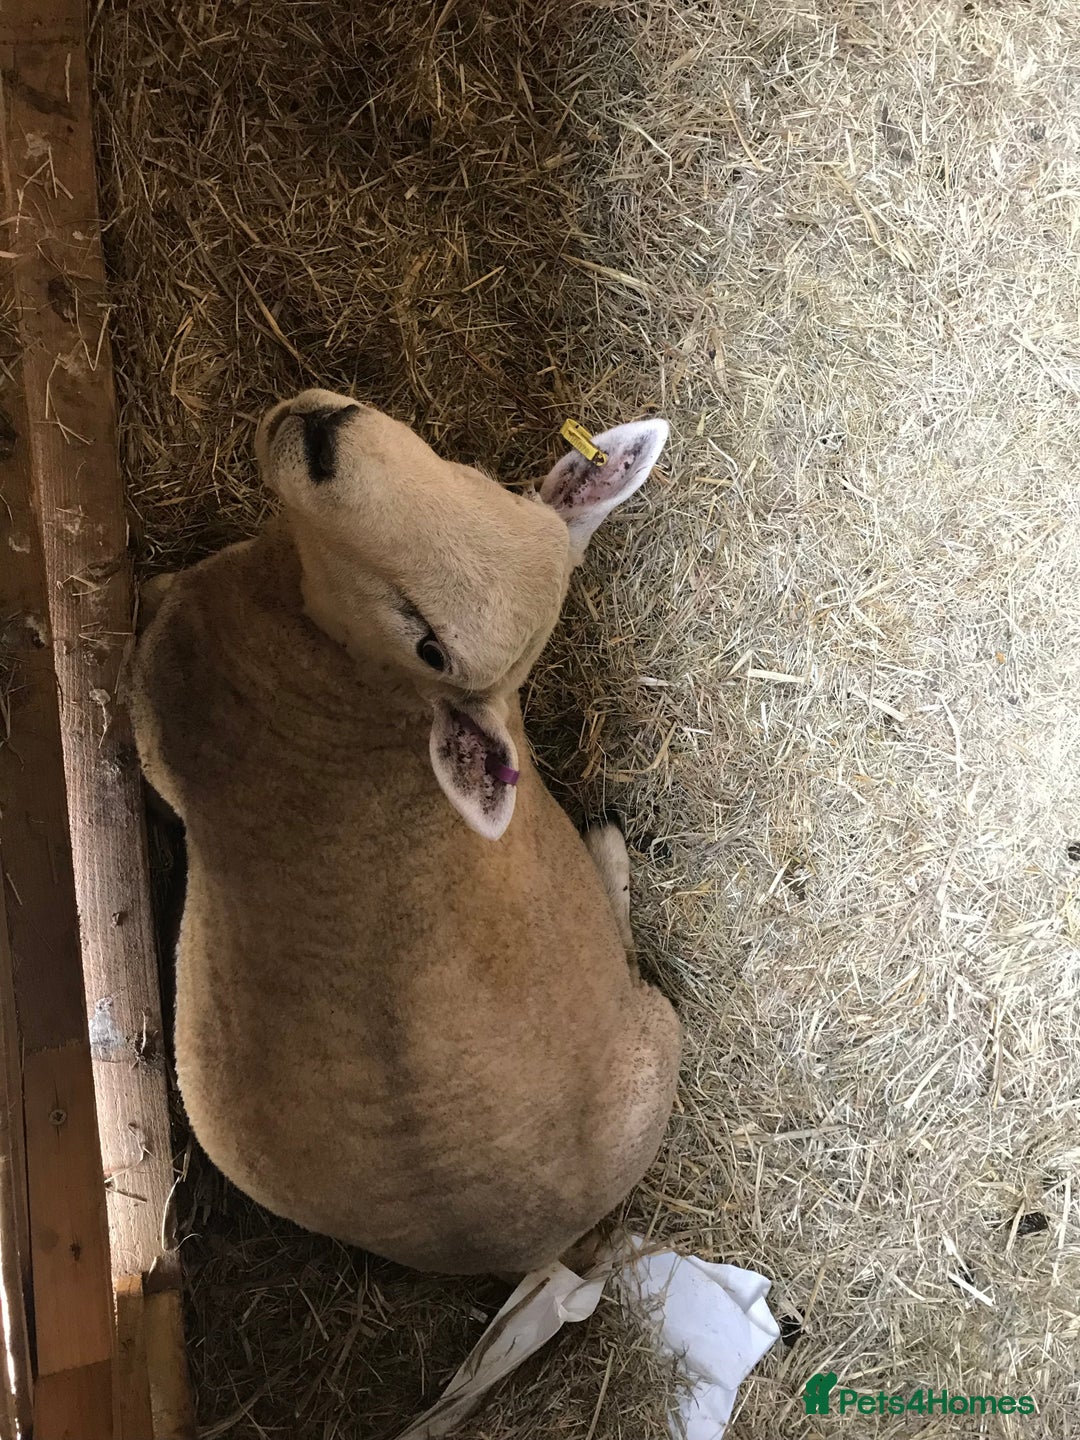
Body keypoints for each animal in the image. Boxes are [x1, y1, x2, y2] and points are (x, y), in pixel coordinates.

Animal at [131, 390, 681, 1276]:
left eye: (429, 643)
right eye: (486, 484)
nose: (327, 442)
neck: (355, 684)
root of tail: (530, 1248)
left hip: (659, 1035)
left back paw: (606, 848)